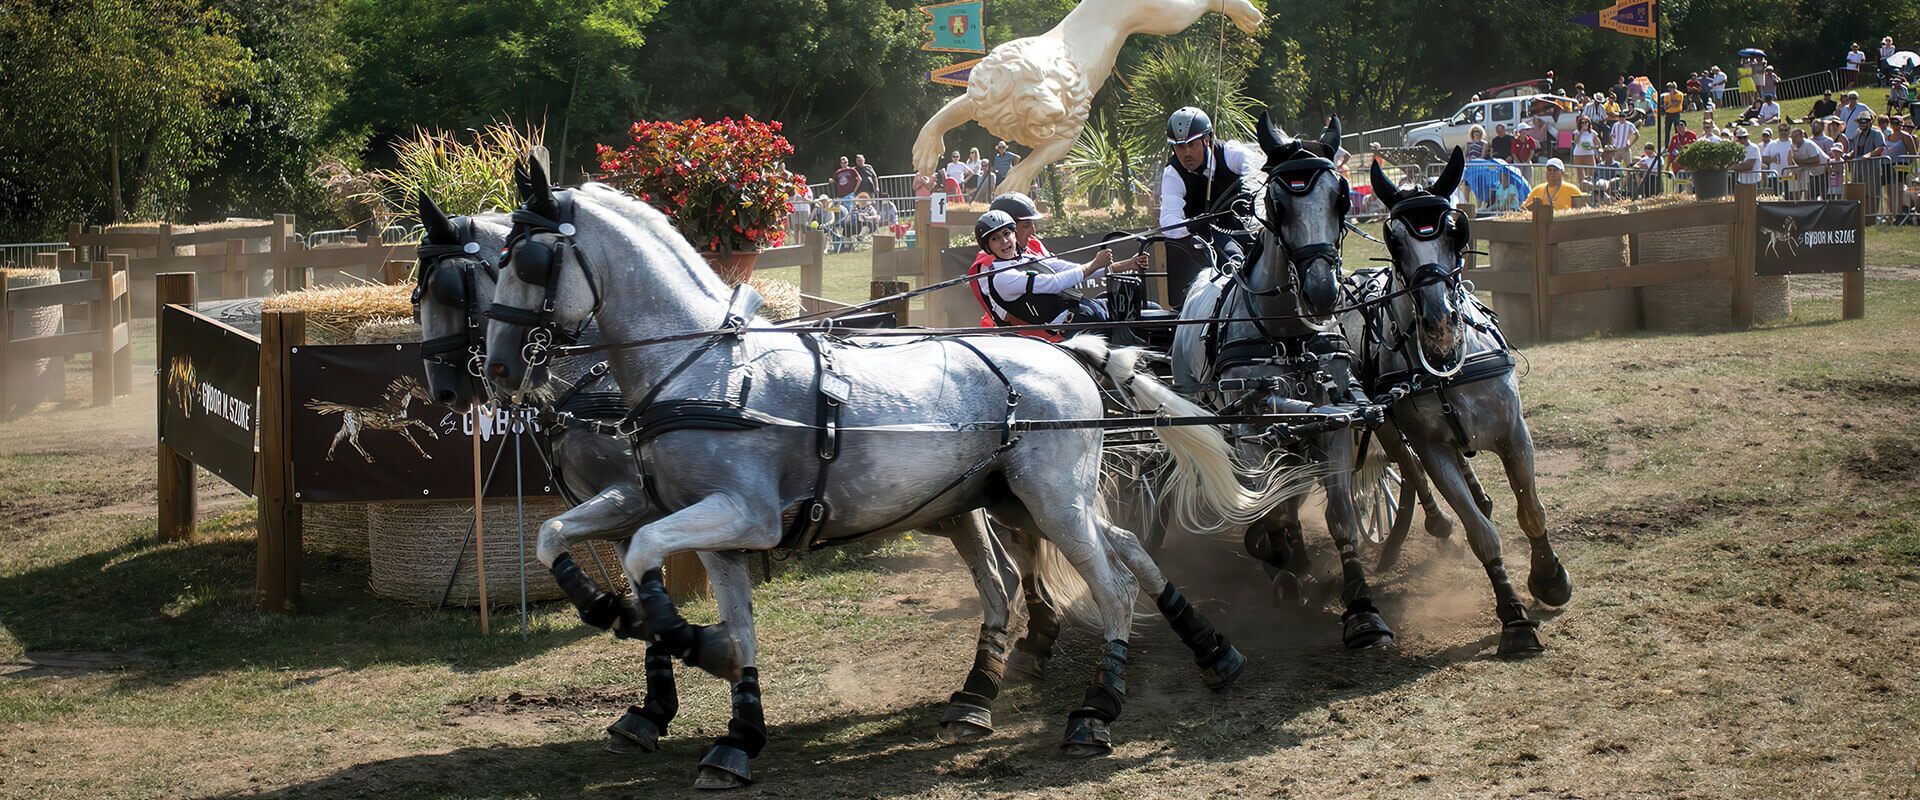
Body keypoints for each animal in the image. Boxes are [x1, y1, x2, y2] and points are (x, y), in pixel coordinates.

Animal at [1351, 151, 1574, 656]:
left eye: (1456, 231)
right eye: (1395, 241)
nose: (1440, 324)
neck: (1449, 364)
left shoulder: (1514, 433)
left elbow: (1531, 511)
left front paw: (1550, 576)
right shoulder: (1432, 448)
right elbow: (1480, 534)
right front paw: (1513, 615)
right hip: (1380, 418)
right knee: (1402, 467)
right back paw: (1426, 526)